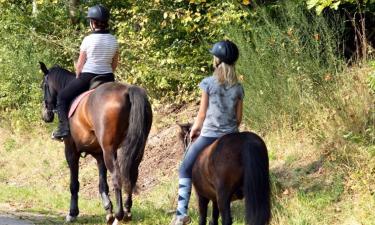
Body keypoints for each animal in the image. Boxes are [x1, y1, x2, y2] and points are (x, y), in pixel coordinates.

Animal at [39, 62, 153, 224]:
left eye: (43, 85)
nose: (46, 115)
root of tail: (127, 91)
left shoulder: (71, 151)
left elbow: (74, 184)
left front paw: (72, 213)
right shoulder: (99, 155)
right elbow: (102, 184)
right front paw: (108, 209)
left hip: (109, 150)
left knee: (117, 177)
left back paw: (119, 215)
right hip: (137, 149)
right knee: (132, 174)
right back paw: (127, 212)